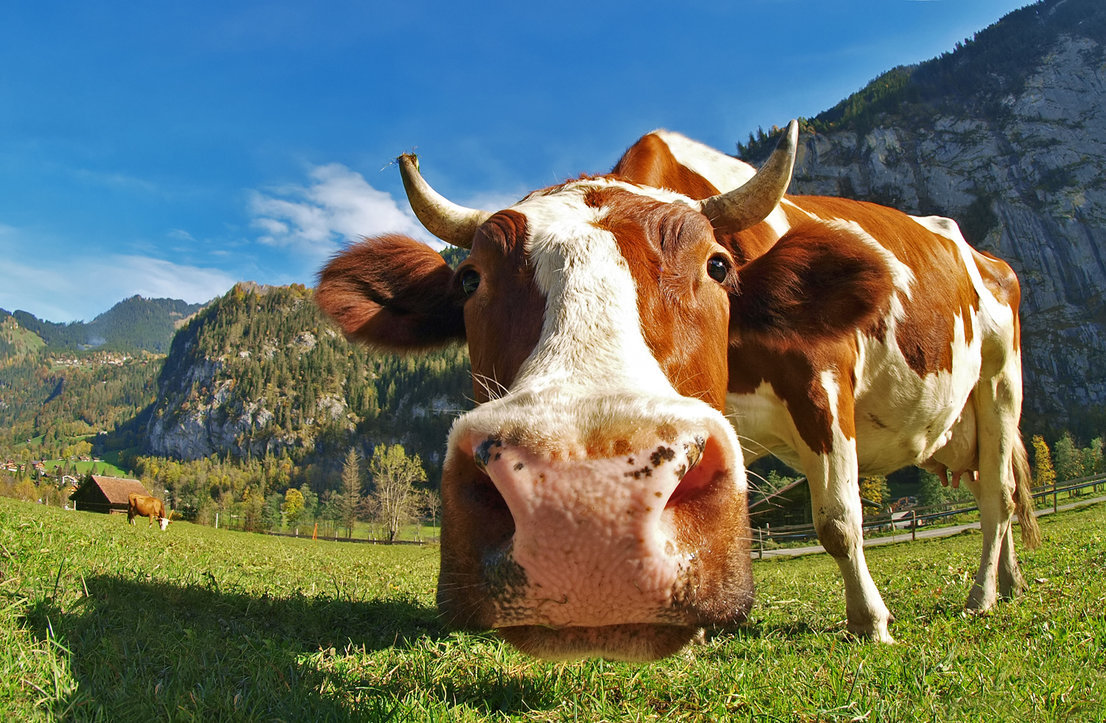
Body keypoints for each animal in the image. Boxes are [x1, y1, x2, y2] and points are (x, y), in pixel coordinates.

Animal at [315, 121, 1039, 659]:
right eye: (470, 279)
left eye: (717, 266)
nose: (585, 503)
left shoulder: (824, 378)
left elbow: (837, 519)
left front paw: (870, 622)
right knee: (992, 487)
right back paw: (1010, 581)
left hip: (1001, 381)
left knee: (999, 496)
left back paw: (982, 595)